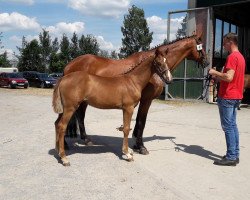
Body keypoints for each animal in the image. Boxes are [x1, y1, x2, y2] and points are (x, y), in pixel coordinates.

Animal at [64, 34, 207, 155]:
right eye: (201, 46)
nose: (207, 62)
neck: (151, 71)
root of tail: (69, 65)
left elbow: (139, 121)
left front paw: (137, 145)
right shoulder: (146, 100)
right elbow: (141, 122)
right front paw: (141, 147)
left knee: (79, 115)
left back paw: (85, 139)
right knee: (78, 115)